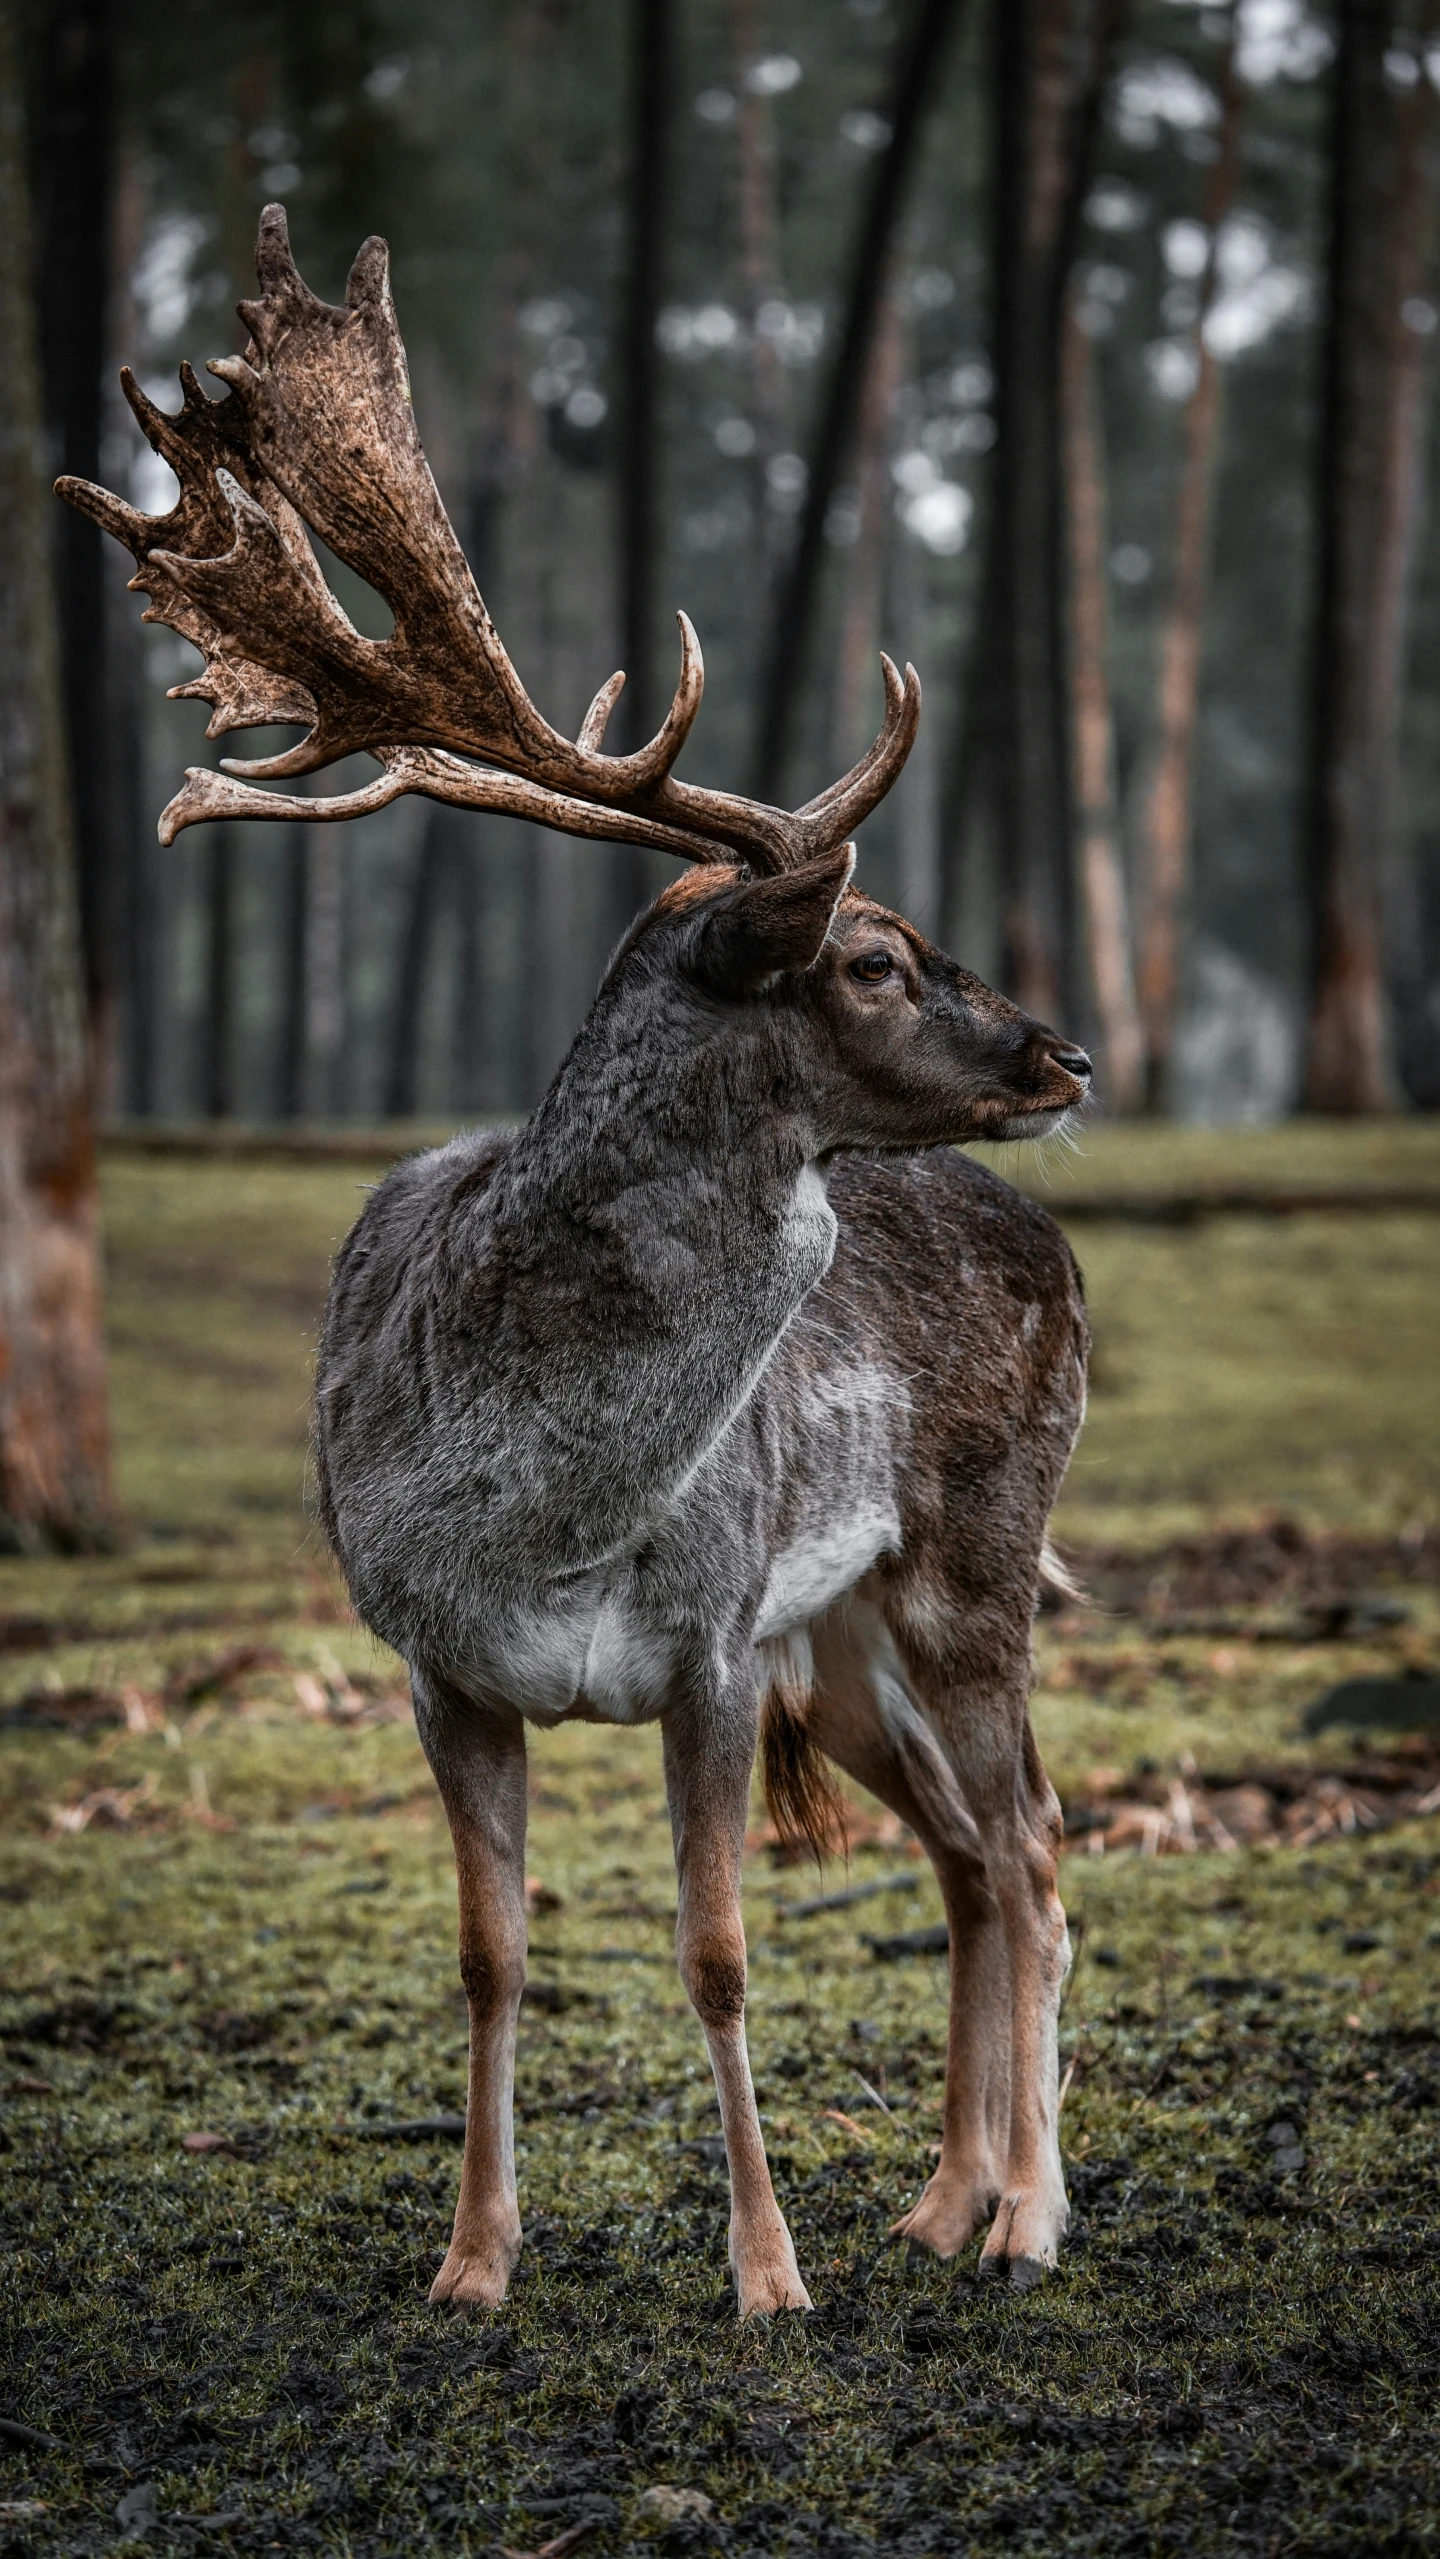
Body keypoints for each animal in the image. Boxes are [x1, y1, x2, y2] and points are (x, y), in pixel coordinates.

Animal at [59, 204, 1094, 2323]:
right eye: (875, 953)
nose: (1068, 1053)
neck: (538, 1501)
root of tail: (1065, 1260)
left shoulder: (705, 1641)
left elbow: (717, 1952)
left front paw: (767, 2276)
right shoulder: (432, 1658)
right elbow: (491, 1953)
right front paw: (472, 2262)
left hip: (969, 1558)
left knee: (1038, 1840)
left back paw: (1029, 2217)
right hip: (842, 1642)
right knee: (970, 1855)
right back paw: (945, 2201)